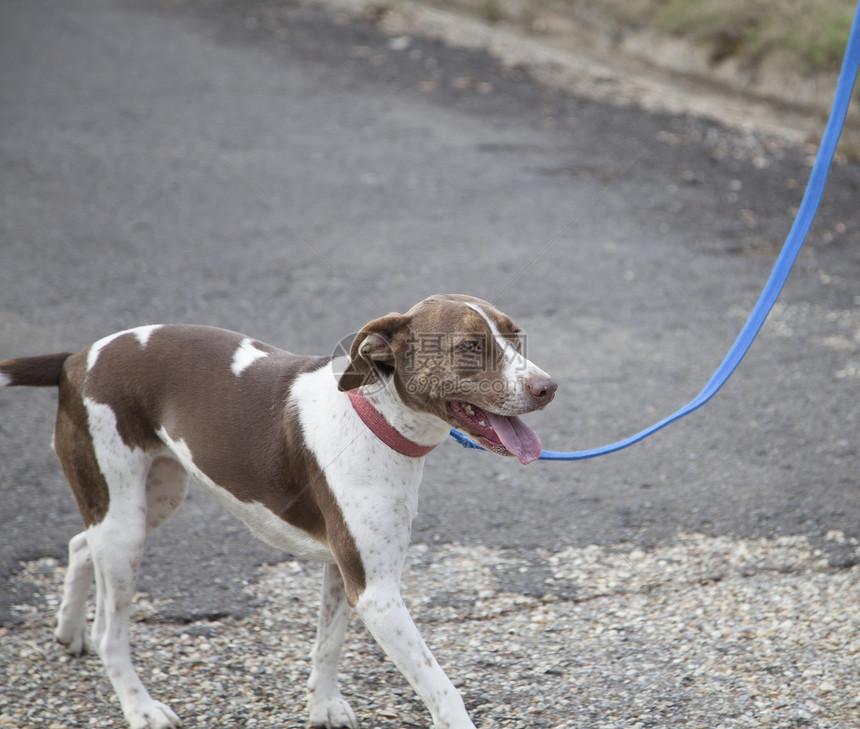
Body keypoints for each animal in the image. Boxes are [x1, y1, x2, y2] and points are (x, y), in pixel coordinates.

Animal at [1, 294, 556, 728]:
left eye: (514, 335)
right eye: (470, 346)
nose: (548, 387)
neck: (373, 419)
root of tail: (75, 359)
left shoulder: (342, 570)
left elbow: (328, 645)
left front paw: (322, 707)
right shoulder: (376, 593)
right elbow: (441, 687)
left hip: (150, 499)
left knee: (80, 543)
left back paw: (69, 629)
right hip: (125, 528)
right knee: (111, 632)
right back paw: (140, 707)